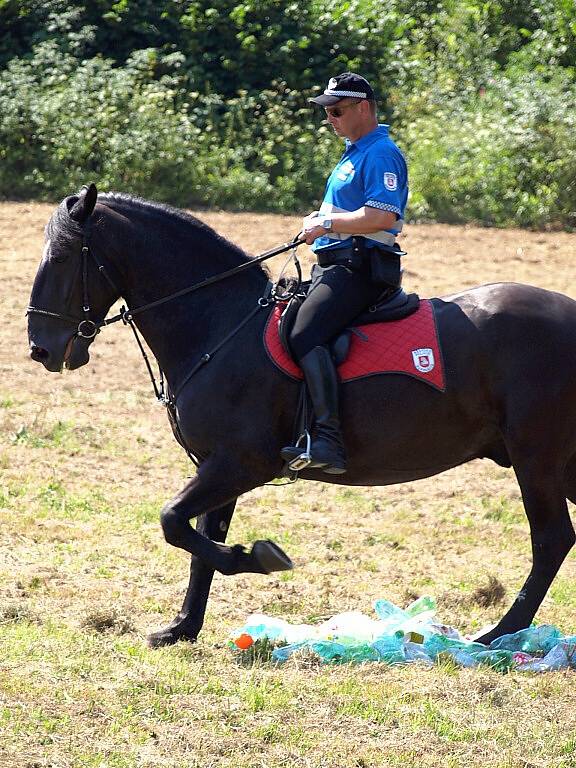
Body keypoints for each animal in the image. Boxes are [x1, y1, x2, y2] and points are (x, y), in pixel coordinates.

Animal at [25, 186, 576, 648]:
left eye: (61, 258)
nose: (40, 348)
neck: (220, 325)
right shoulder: (217, 466)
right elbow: (198, 538)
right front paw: (183, 627)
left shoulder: (240, 464)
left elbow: (175, 523)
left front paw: (255, 557)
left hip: (537, 459)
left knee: (551, 540)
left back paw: (498, 634)